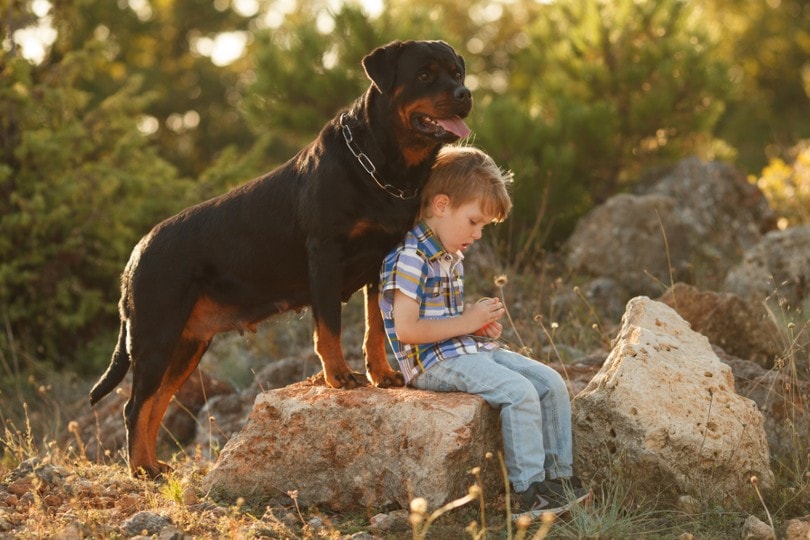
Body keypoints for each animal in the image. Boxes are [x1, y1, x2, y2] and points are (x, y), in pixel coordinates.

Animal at [88, 39, 470, 476]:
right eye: (424, 75)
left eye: (456, 73)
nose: (465, 94)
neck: (381, 165)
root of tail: (135, 256)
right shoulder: (325, 255)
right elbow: (330, 327)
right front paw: (339, 376)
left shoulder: (383, 259)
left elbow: (375, 327)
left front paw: (381, 374)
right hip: (156, 335)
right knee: (136, 406)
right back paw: (143, 470)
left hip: (186, 344)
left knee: (155, 403)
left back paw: (154, 467)